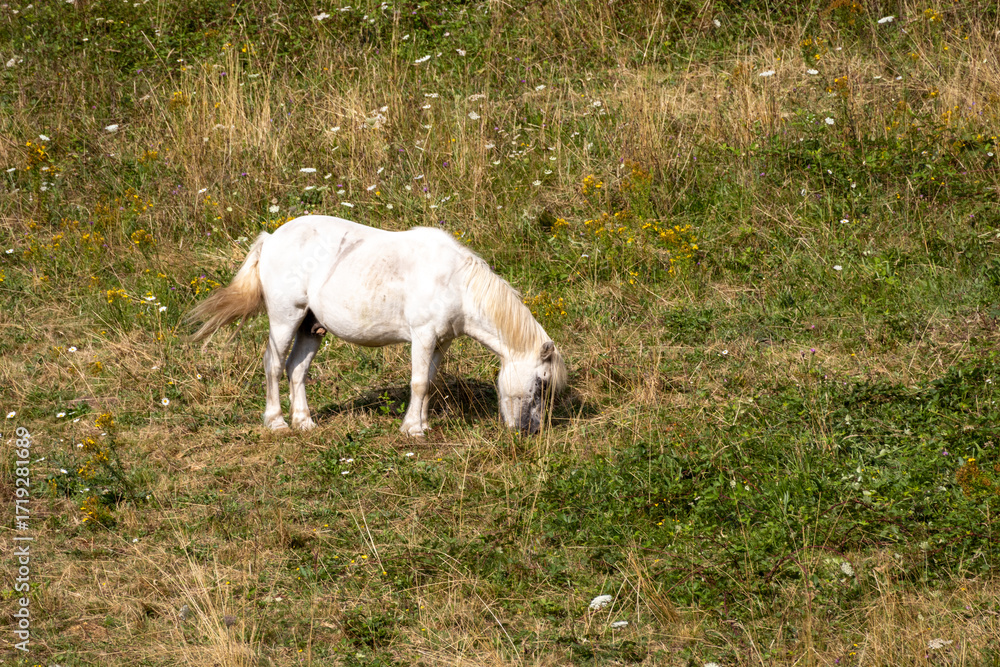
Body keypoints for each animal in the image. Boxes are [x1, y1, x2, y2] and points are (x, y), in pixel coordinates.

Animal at [186, 215, 567, 436]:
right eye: (541, 383)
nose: (531, 431)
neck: (456, 282)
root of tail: (272, 237)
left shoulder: (439, 342)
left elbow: (429, 381)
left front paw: (422, 422)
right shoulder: (422, 336)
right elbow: (418, 383)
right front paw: (413, 430)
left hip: (311, 328)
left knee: (296, 369)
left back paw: (304, 421)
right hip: (285, 319)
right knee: (274, 365)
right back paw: (277, 422)